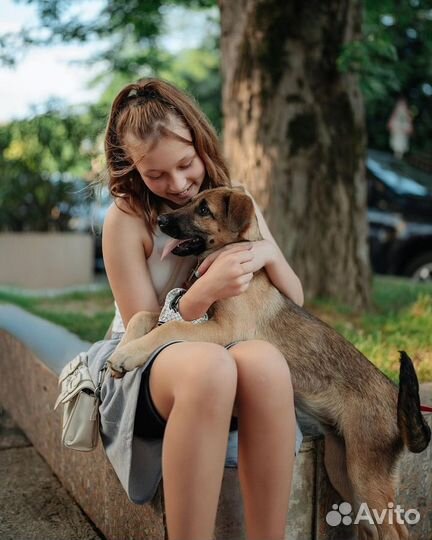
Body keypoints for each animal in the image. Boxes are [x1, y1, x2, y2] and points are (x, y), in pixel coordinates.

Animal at [107, 187, 428, 540]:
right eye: (191, 201)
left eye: (204, 209)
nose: (162, 221)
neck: (230, 262)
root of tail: (395, 398)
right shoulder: (195, 316)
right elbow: (145, 315)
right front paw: (122, 349)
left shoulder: (222, 329)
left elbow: (170, 329)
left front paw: (127, 354)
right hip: (343, 467)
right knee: (373, 524)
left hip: (366, 471)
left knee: (395, 531)